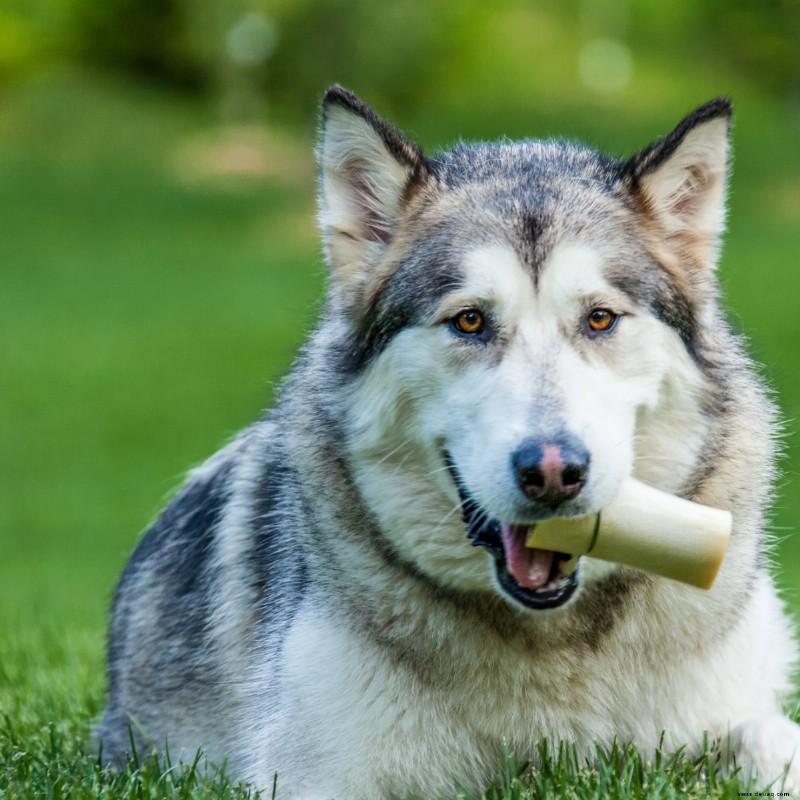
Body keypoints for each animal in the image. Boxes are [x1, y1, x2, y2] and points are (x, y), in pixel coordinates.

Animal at [95, 86, 800, 792]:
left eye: (599, 319)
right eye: (469, 321)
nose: (553, 472)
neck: (553, 638)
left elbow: (769, 736)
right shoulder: (310, 774)